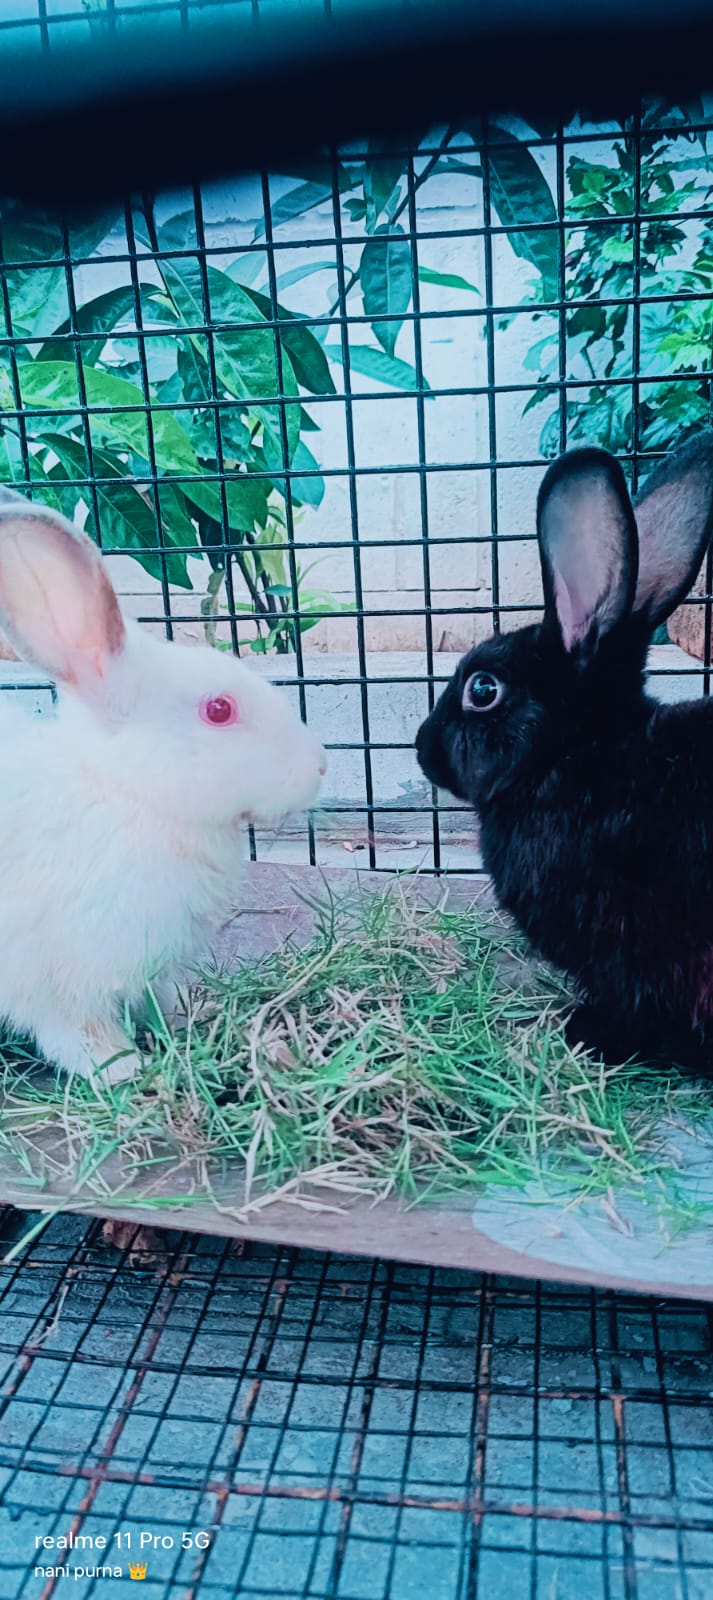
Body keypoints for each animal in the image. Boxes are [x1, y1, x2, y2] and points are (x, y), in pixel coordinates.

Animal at [0, 495, 326, 1087]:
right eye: (218, 709)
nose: (320, 766)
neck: (129, 793)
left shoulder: (154, 964)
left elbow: (162, 999)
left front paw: (192, 1017)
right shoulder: (57, 981)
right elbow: (77, 1034)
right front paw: (123, 1068)